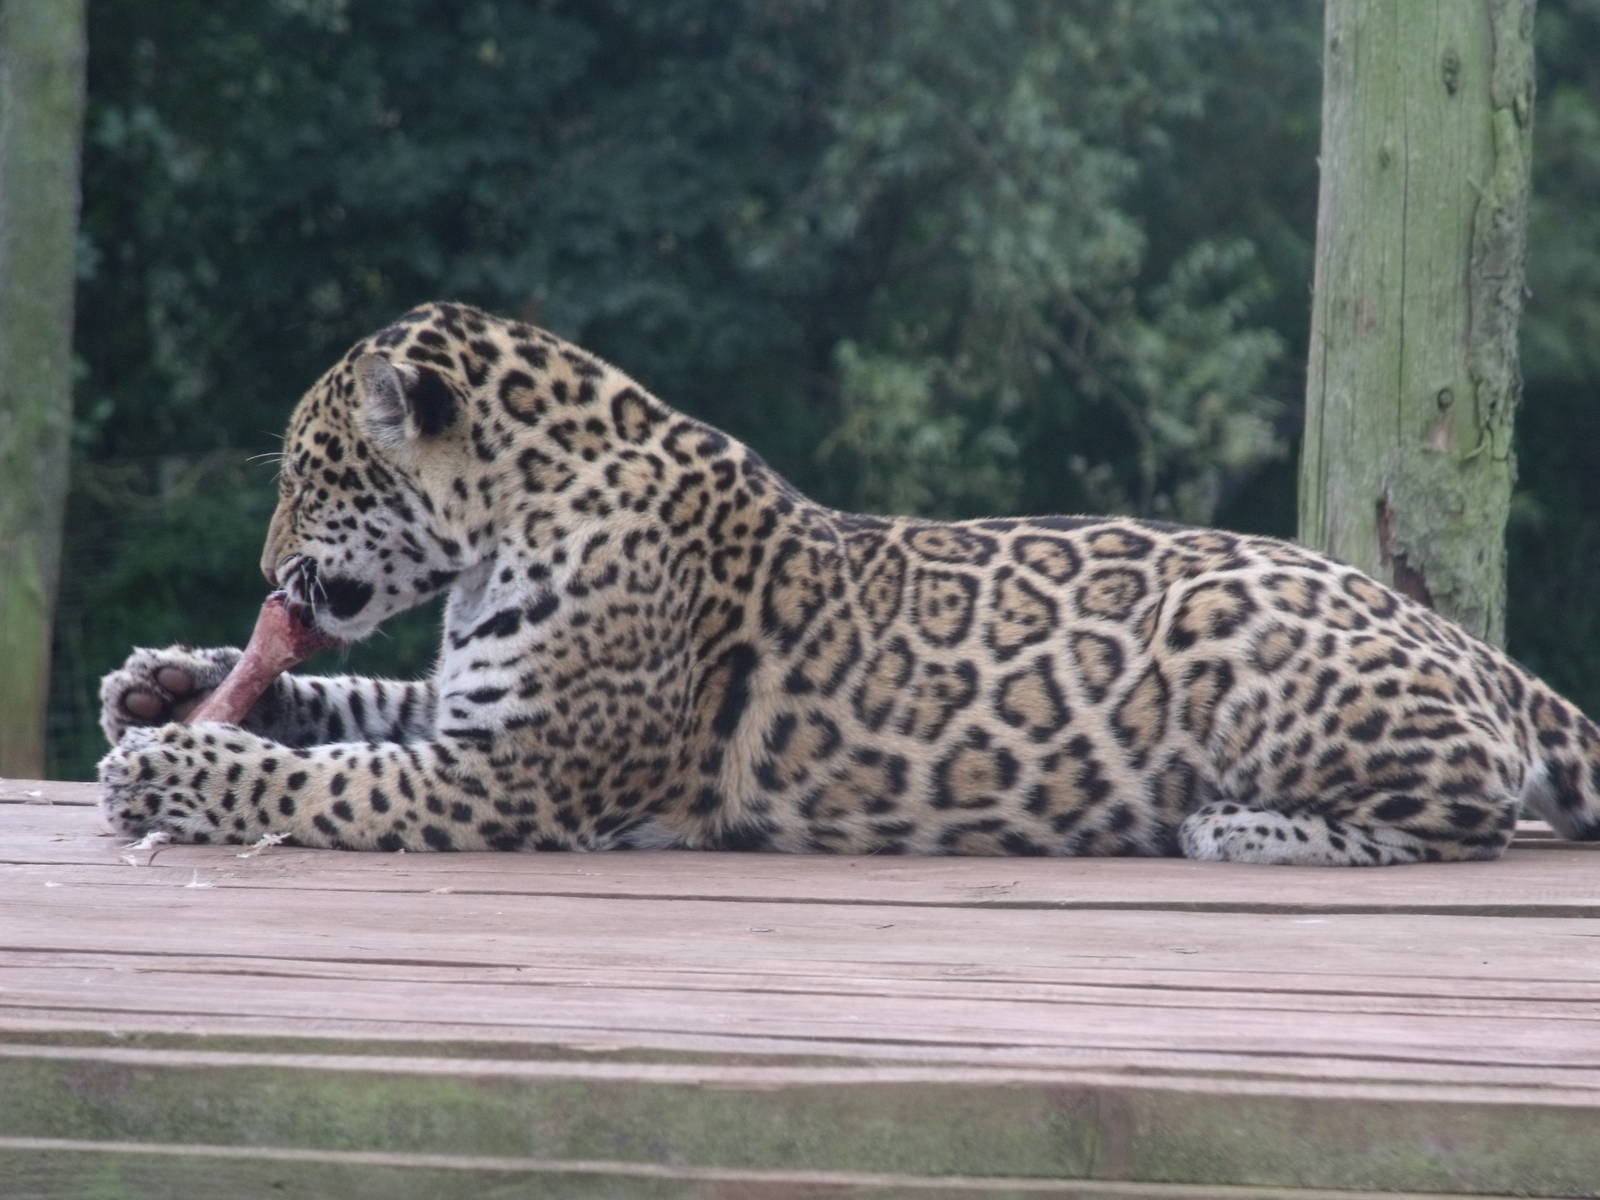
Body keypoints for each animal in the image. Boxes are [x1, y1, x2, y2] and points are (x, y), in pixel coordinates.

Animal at [98, 301, 1600, 865]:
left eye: (309, 474)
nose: (264, 570)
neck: (511, 522)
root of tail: (1458, 636)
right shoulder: (473, 714)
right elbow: (346, 704)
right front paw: (163, 684)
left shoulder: (523, 774)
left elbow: (324, 784)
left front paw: (172, 771)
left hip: (1258, 650)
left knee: (1474, 811)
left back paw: (1243, 828)